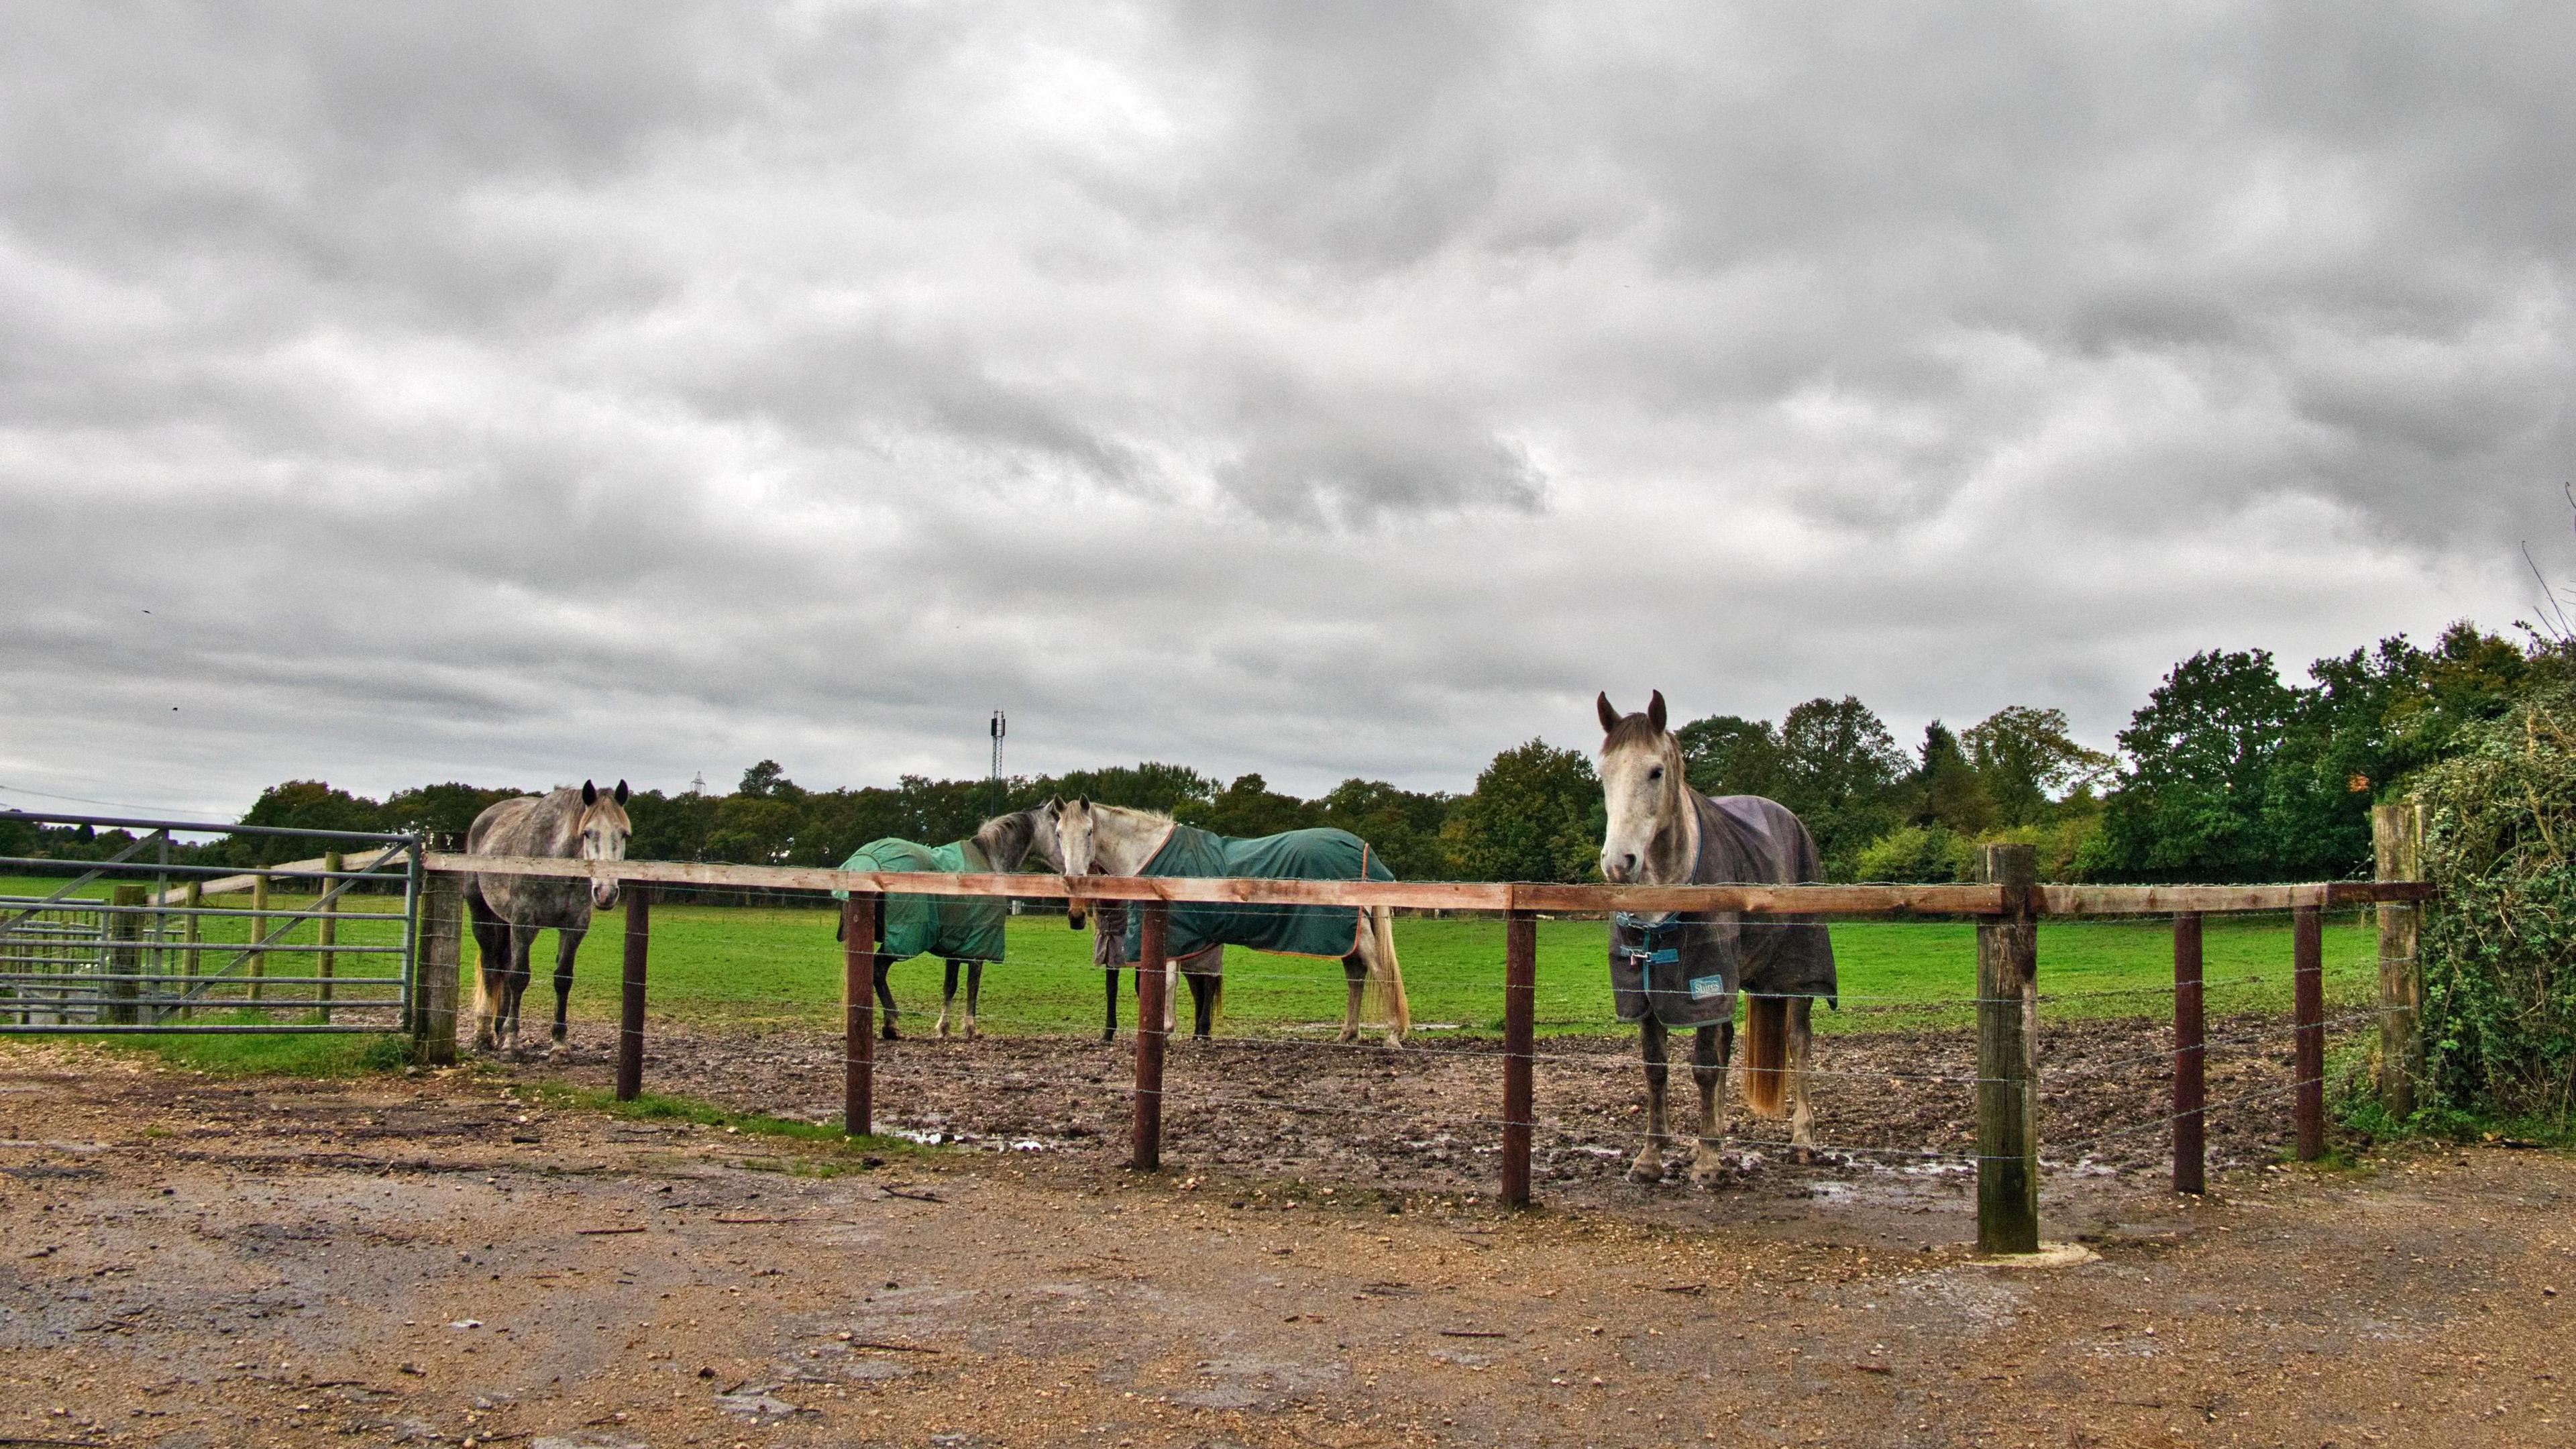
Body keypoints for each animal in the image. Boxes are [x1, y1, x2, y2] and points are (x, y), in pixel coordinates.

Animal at [464, 778, 628, 1046]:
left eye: (624, 834)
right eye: (587, 833)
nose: (606, 892)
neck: (554, 863)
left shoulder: (574, 927)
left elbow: (563, 979)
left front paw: (559, 1044)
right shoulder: (523, 923)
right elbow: (519, 977)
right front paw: (512, 1043)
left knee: (503, 962)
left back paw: (499, 1027)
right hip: (482, 915)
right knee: (490, 966)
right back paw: (483, 1033)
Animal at [1040, 794, 1411, 1041]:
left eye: (1089, 832)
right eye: (1058, 834)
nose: (1074, 884)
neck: (1149, 854)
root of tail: (1363, 849)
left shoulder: (1173, 933)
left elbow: (1168, 982)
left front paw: (1165, 1029)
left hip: (1356, 933)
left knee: (1380, 972)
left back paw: (1393, 1034)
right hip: (1347, 934)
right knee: (1356, 976)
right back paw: (1347, 1034)